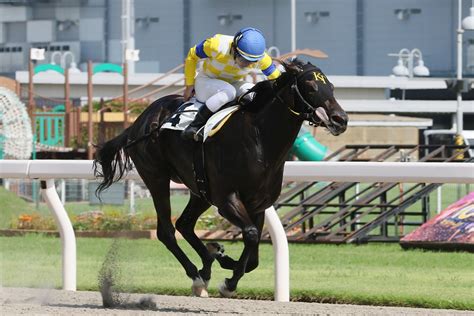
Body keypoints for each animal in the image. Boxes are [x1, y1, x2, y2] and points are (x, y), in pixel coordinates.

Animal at [93, 58, 348, 296]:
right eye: (311, 86)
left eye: (332, 86)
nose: (341, 119)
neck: (259, 140)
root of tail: (139, 122)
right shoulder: (227, 199)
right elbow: (251, 234)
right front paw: (228, 282)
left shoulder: (258, 204)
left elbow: (253, 256)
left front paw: (224, 260)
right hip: (156, 177)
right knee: (166, 230)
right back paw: (197, 275)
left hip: (200, 189)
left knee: (184, 224)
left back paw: (208, 262)